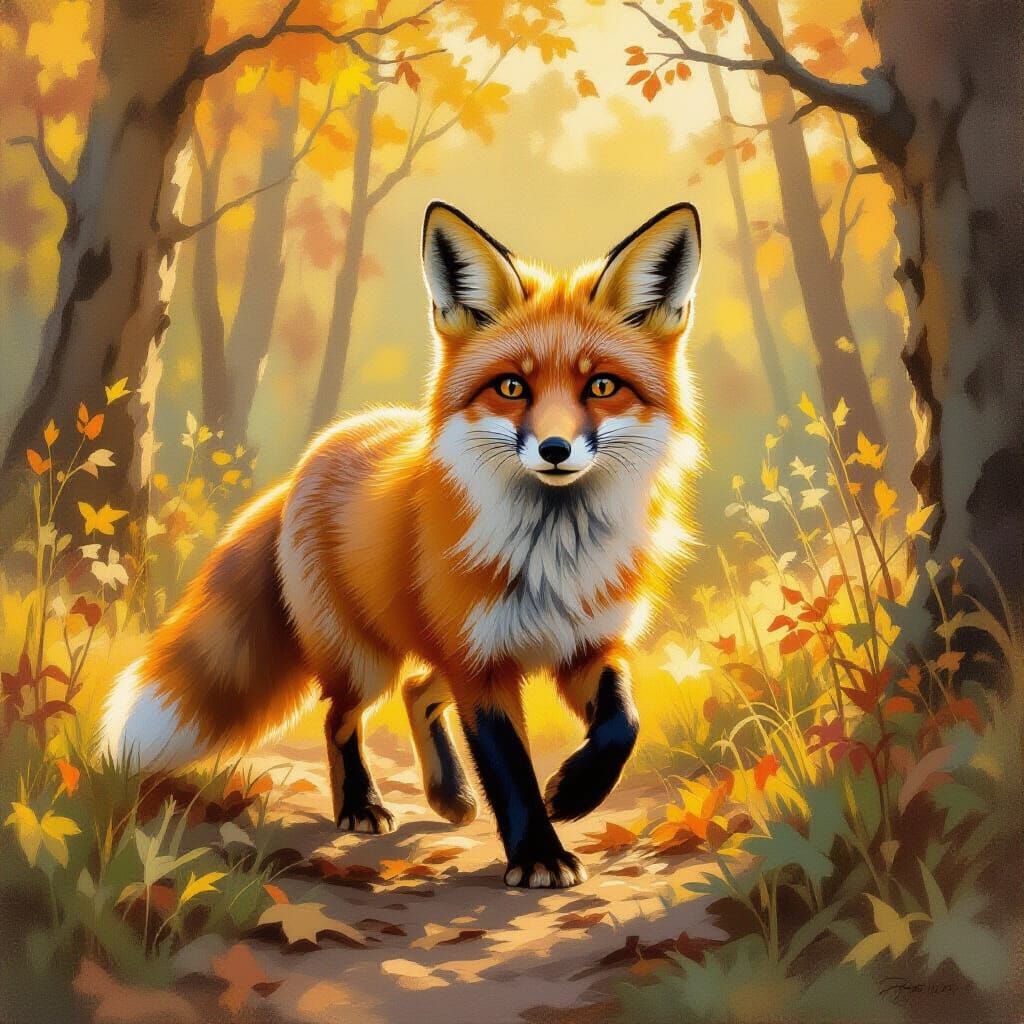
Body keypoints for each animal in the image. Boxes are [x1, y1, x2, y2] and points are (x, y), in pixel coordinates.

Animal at [102, 200, 704, 888]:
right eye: (512, 387)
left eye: (602, 387)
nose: (555, 450)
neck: (553, 555)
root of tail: (319, 449)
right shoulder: (481, 665)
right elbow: (510, 769)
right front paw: (538, 855)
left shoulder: (584, 646)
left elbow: (622, 725)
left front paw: (576, 792)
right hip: (364, 659)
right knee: (340, 717)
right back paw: (361, 804)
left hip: (431, 648)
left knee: (417, 690)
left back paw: (448, 794)